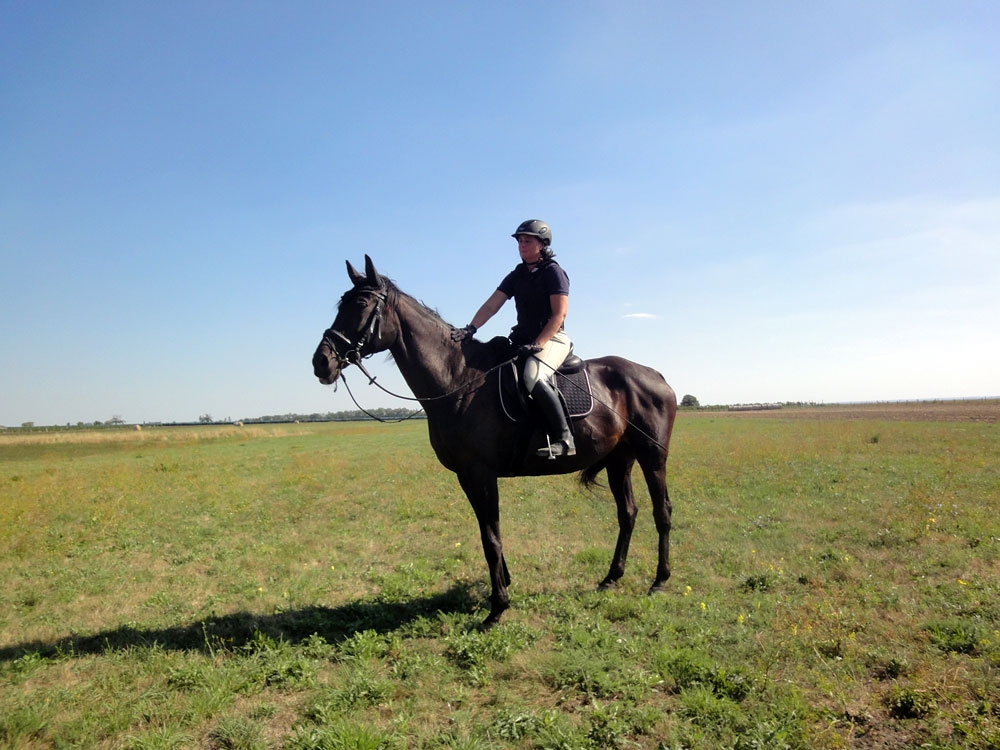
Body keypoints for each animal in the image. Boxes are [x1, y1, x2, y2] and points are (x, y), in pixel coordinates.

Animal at [312, 256, 680, 632]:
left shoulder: (480, 473)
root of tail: (655, 375)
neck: (459, 379)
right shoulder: (468, 476)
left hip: (653, 457)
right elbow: (489, 532)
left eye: (360, 304)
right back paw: (611, 578)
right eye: (342, 304)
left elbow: (490, 537)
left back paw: (659, 581)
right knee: (628, 513)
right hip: (620, 460)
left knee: (661, 511)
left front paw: (497, 607)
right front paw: (503, 587)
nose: (321, 361)